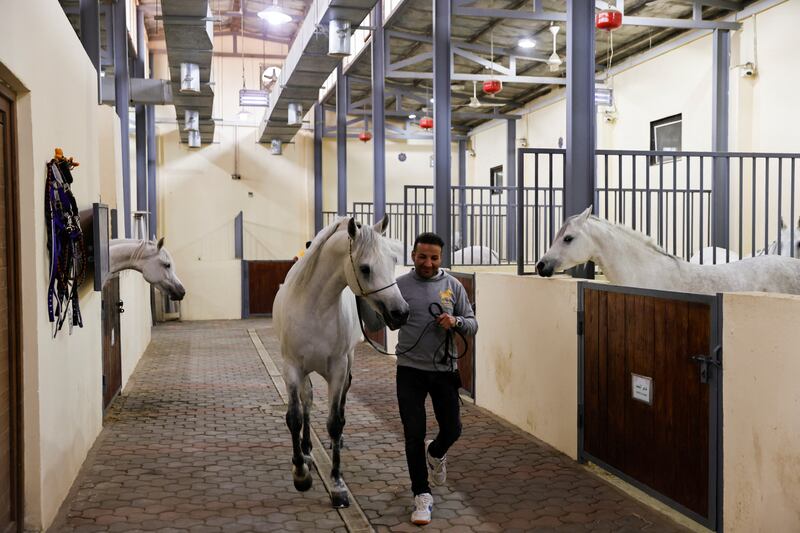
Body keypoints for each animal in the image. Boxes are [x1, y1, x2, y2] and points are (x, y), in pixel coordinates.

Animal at [274, 216, 410, 508]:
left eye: (393, 260)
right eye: (365, 268)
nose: (401, 313)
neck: (315, 308)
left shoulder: (337, 369)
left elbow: (334, 423)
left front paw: (337, 484)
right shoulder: (292, 367)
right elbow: (294, 417)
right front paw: (300, 473)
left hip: (348, 361)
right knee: (307, 402)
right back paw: (306, 450)